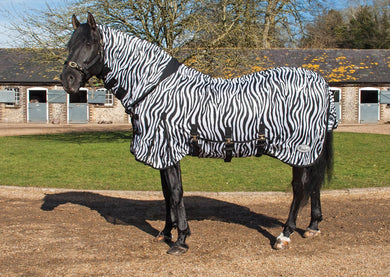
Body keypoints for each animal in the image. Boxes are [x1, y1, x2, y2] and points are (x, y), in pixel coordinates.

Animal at [59, 13, 336, 254]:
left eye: (89, 43)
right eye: (69, 44)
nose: (67, 80)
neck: (156, 88)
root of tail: (320, 82)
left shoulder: (168, 148)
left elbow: (176, 192)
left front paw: (181, 239)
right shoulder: (162, 153)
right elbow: (166, 194)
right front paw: (166, 232)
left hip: (298, 148)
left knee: (300, 188)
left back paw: (284, 235)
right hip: (309, 151)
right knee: (314, 185)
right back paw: (313, 226)